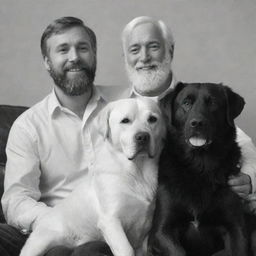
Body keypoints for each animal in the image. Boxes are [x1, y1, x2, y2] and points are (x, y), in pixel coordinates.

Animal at [20, 98, 166, 256]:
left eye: (152, 119)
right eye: (125, 121)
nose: (143, 137)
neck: (137, 172)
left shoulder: (145, 230)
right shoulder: (110, 221)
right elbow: (126, 249)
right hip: (38, 243)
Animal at [149, 83, 249, 256]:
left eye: (213, 103)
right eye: (186, 103)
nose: (197, 123)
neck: (199, 165)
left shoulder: (236, 229)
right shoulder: (161, 231)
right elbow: (178, 252)